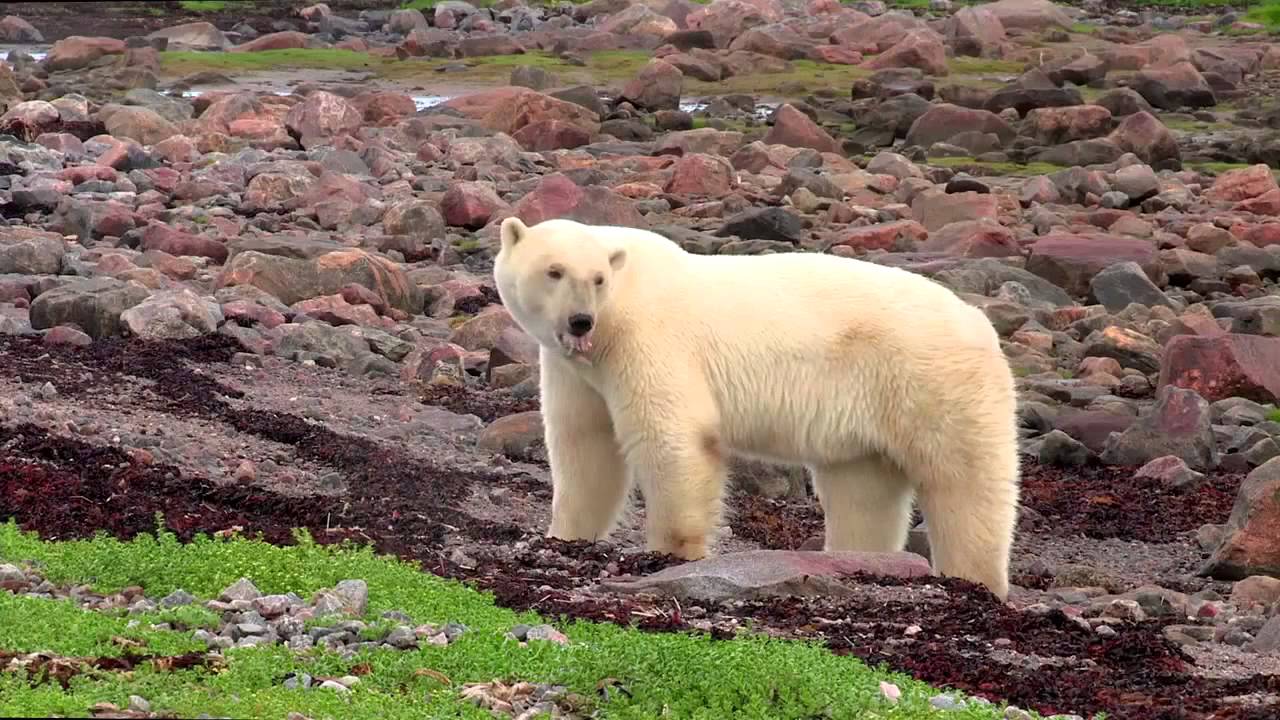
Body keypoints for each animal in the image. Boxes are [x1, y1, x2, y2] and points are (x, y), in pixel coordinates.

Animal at [492, 216, 1022, 600]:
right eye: (554, 271)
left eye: (598, 279)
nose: (580, 321)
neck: (620, 307)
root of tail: (981, 324)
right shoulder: (576, 369)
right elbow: (585, 446)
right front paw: (565, 534)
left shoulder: (646, 339)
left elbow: (672, 439)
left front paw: (671, 554)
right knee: (863, 494)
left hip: (933, 382)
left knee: (965, 485)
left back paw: (975, 579)